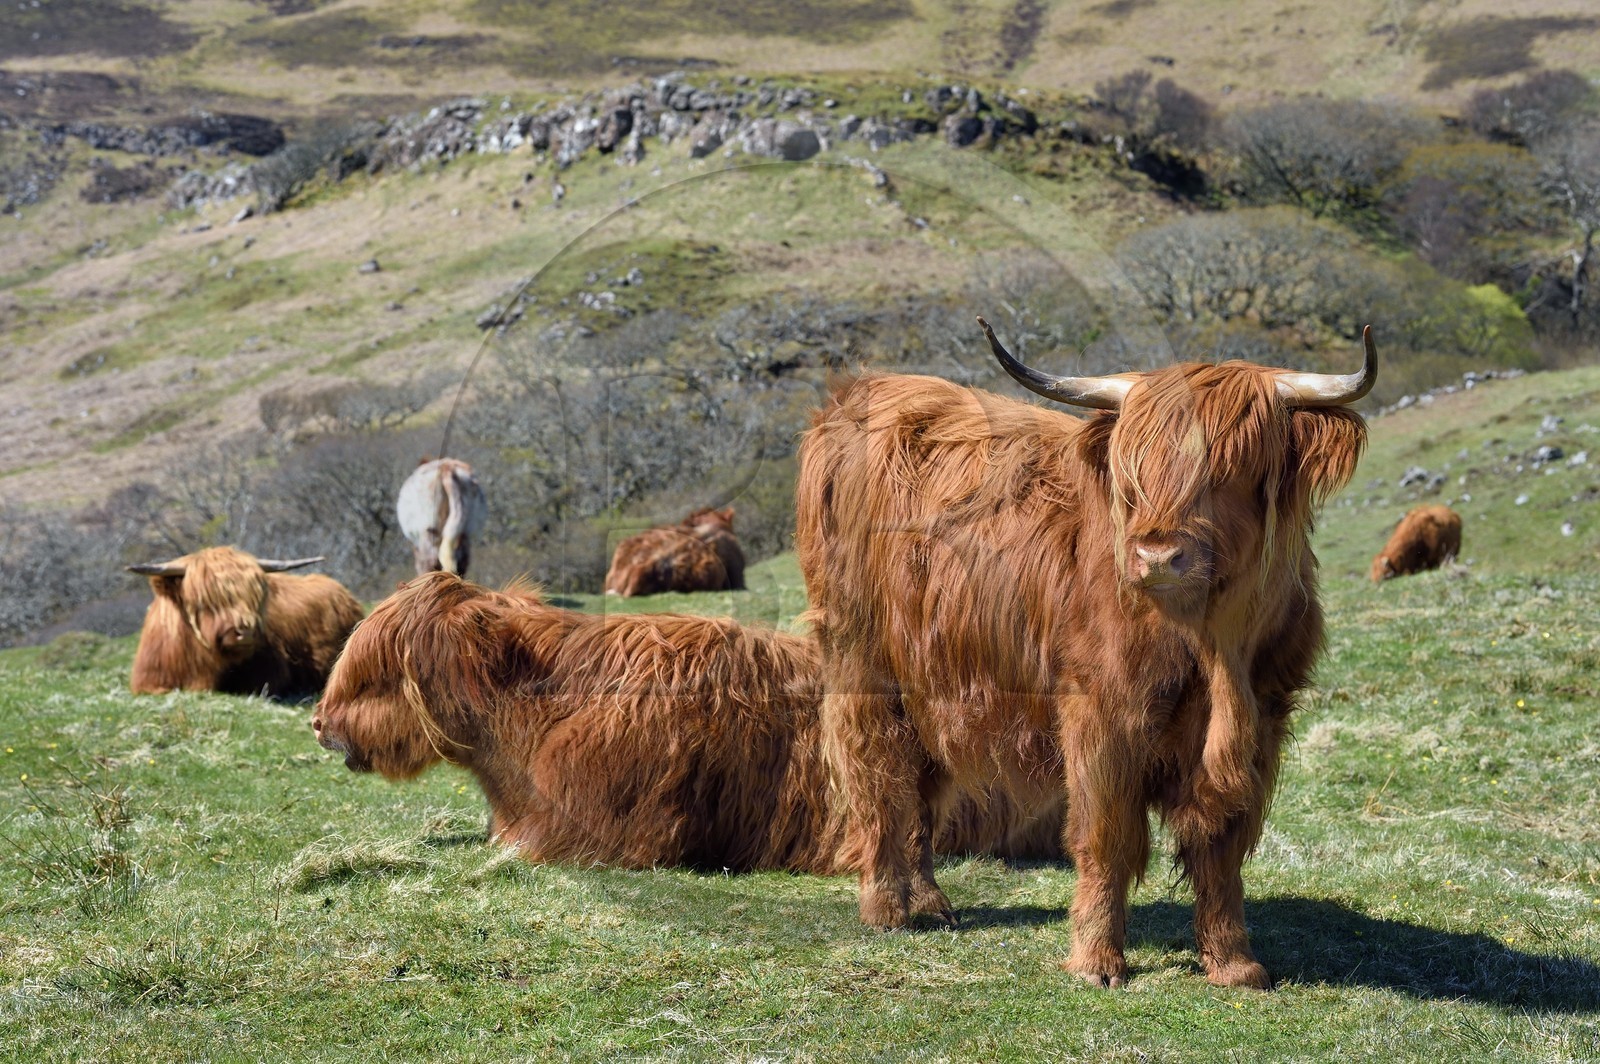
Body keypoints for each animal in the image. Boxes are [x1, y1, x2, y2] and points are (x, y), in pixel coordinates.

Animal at [795, 317, 1375, 989]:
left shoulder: (1265, 720)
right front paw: (1097, 961)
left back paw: (932, 903)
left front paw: (1235, 964)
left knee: (920, 780)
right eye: (1135, 474)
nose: (1156, 556)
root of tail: (858, 393)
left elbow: (1223, 844)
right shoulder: (1102, 712)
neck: (1216, 649)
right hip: (861, 661)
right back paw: (887, 908)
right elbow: (1106, 835)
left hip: (932, 682)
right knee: (876, 770)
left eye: (1233, 468)